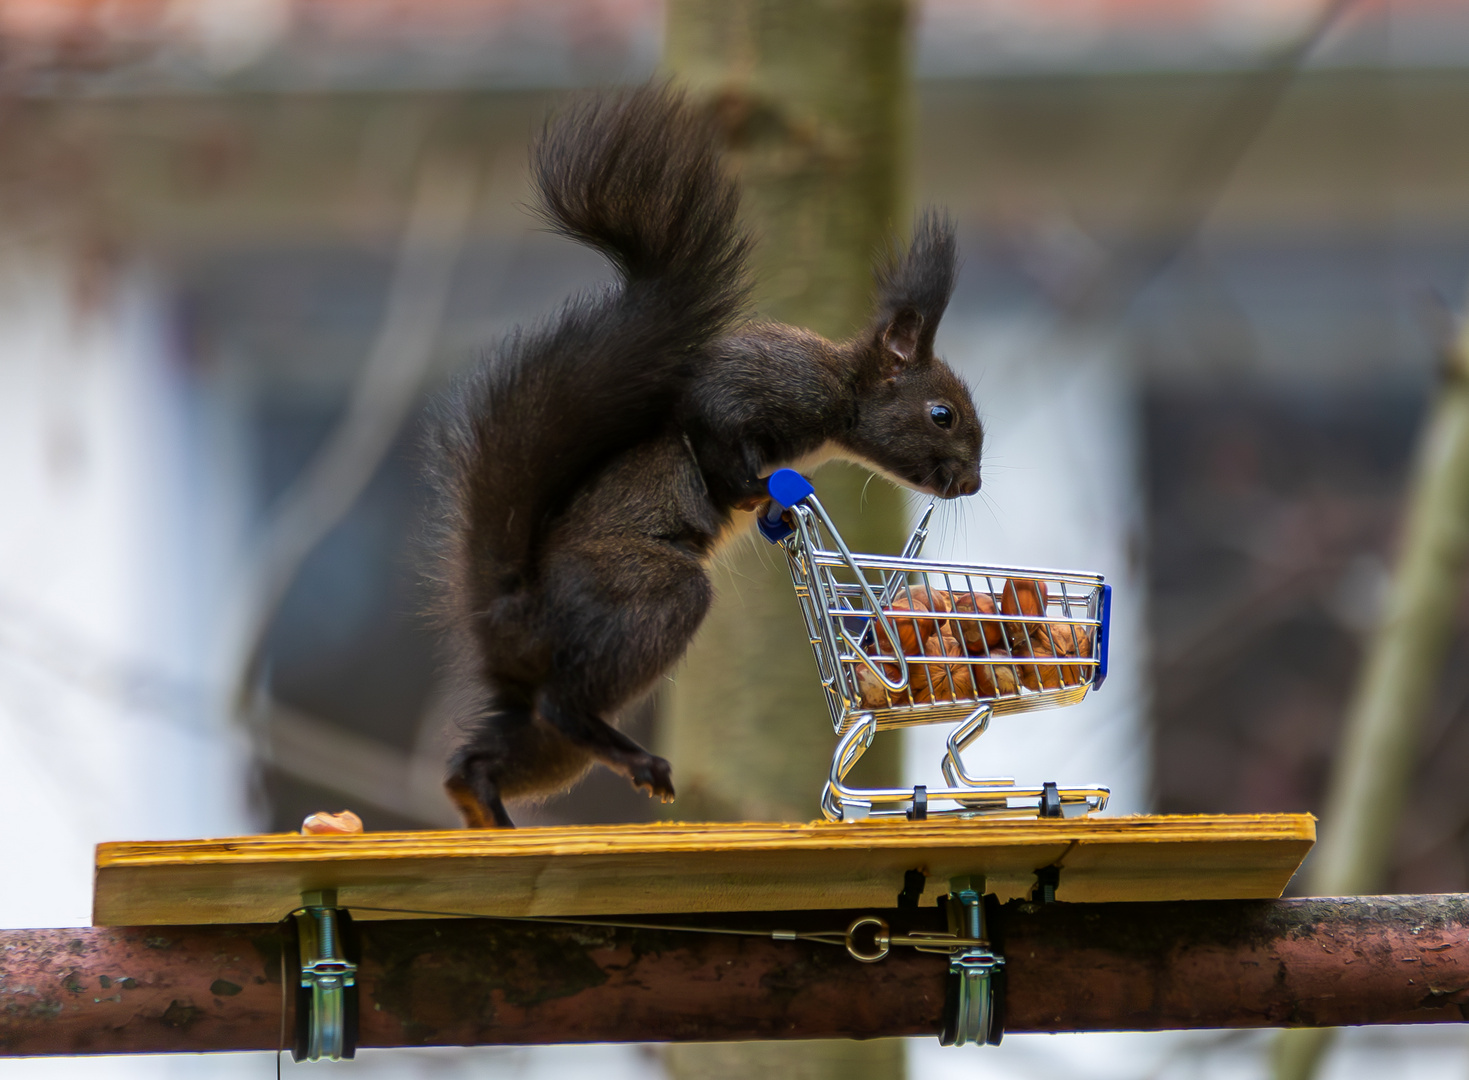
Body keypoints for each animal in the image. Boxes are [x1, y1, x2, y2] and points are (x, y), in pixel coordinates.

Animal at [426, 84, 981, 828]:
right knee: (563, 706)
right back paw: (631, 759)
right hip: (644, 594)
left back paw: (485, 803)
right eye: (941, 415)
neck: (839, 393)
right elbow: (717, 441)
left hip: (546, 712)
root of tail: (512, 614)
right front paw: (771, 493)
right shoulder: (751, 391)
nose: (971, 484)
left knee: (492, 753)